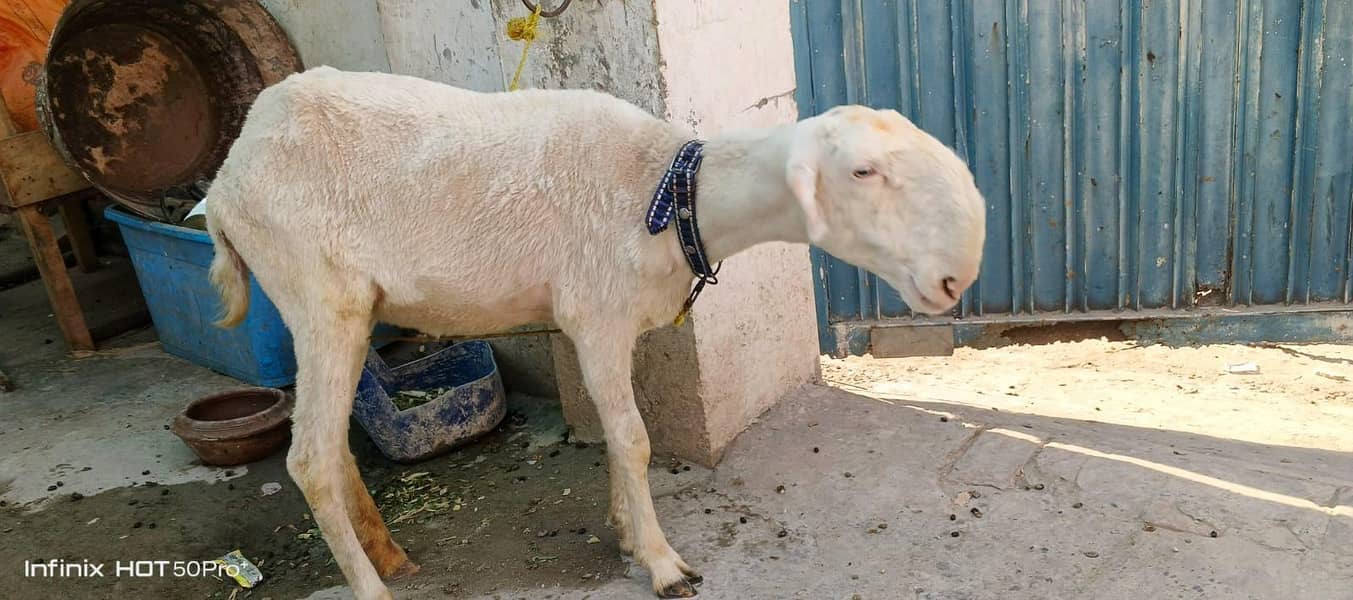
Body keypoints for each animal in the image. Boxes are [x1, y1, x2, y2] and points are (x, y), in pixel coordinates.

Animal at [206, 65, 985, 600]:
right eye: (862, 170)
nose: (957, 278)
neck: (669, 196)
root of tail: (230, 171)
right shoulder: (595, 314)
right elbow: (635, 440)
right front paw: (663, 563)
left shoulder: (619, 322)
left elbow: (618, 439)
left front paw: (627, 536)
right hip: (316, 292)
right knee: (308, 458)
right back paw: (370, 587)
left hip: (346, 306)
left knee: (335, 448)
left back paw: (389, 555)